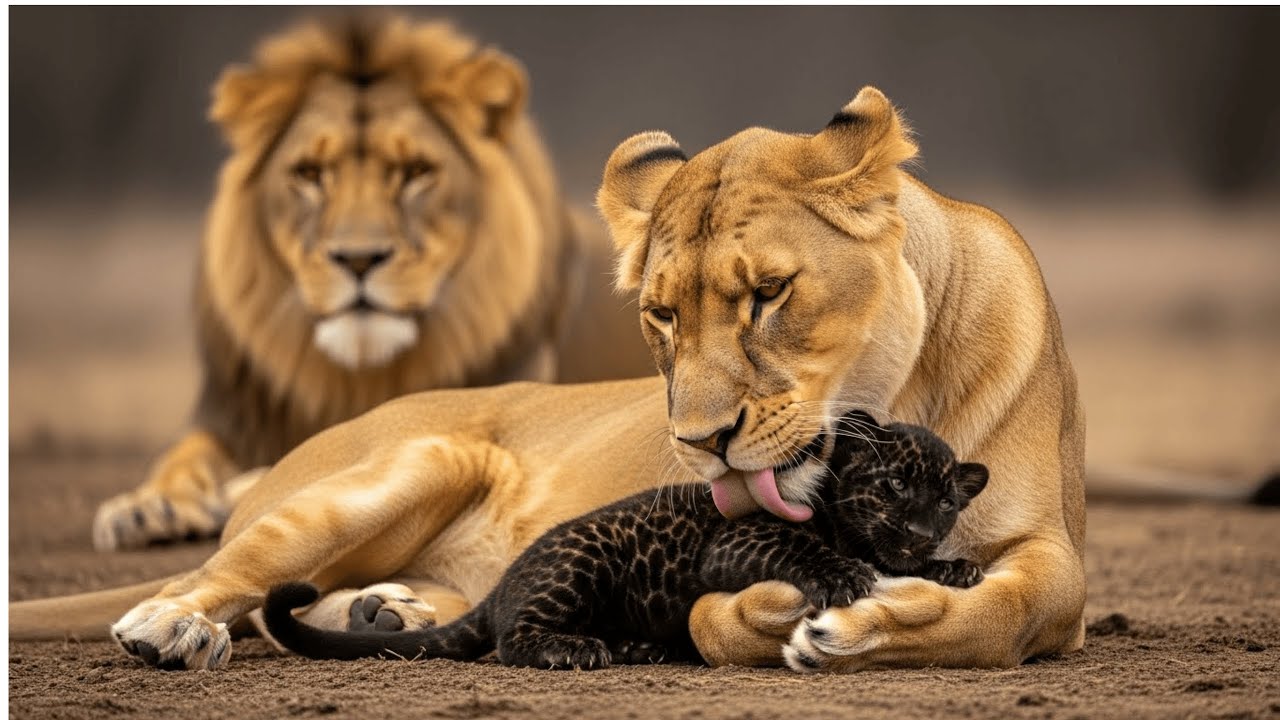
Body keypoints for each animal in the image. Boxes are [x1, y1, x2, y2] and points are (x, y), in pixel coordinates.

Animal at [13, 86, 1086, 674]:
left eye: (769, 294)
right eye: (662, 314)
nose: (699, 445)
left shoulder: (1054, 554)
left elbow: (1005, 610)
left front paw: (877, 617)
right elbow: (725, 616)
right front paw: (809, 615)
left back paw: (385, 611)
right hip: (412, 462)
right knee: (233, 574)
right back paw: (173, 624)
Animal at [90, 15, 650, 551]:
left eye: (416, 171)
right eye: (310, 173)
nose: (358, 259)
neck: (359, 376)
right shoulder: (235, 418)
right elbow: (185, 453)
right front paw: (147, 506)